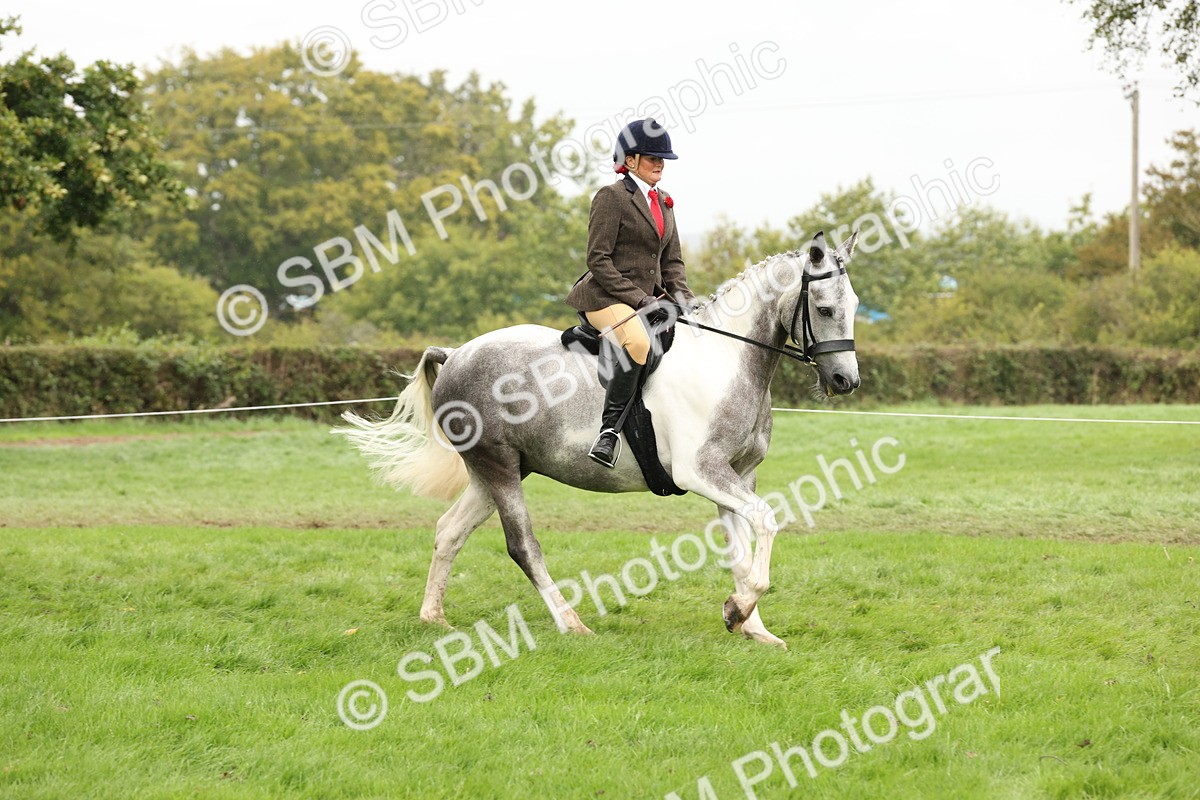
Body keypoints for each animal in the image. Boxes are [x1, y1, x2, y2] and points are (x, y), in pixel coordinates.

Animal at [334, 231, 861, 648]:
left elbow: (741, 547)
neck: (726, 359)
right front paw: (739, 610)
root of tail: (458, 353)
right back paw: (571, 624)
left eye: (854, 307)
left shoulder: (738, 476)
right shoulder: (702, 471)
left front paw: (751, 625)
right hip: (499, 467)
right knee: (522, 545)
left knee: (449, 531)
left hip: (495, 471)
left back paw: (433, 618)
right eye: (824, 308)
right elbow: (767, 522)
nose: (845, 381)